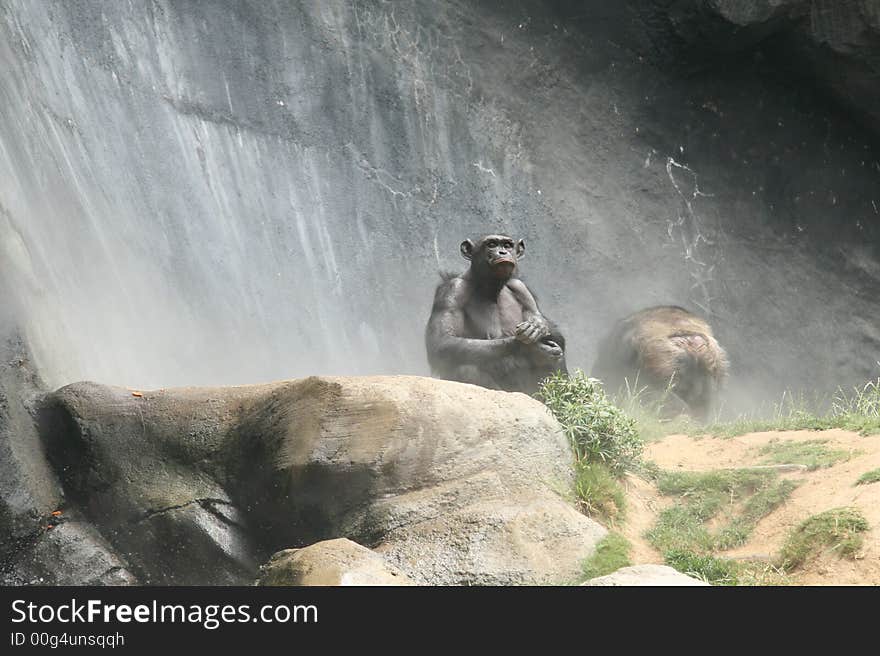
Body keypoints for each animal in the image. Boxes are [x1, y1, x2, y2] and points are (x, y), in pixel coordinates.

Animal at [426, 233, 572, 392]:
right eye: (491, 244)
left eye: (507, 245)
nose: (503, 252)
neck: (491, 287)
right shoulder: (452, 291)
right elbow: (443, 341)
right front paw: (531, 349)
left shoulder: (521, 288)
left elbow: (555, 333)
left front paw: (538, 326)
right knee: (465, 367)